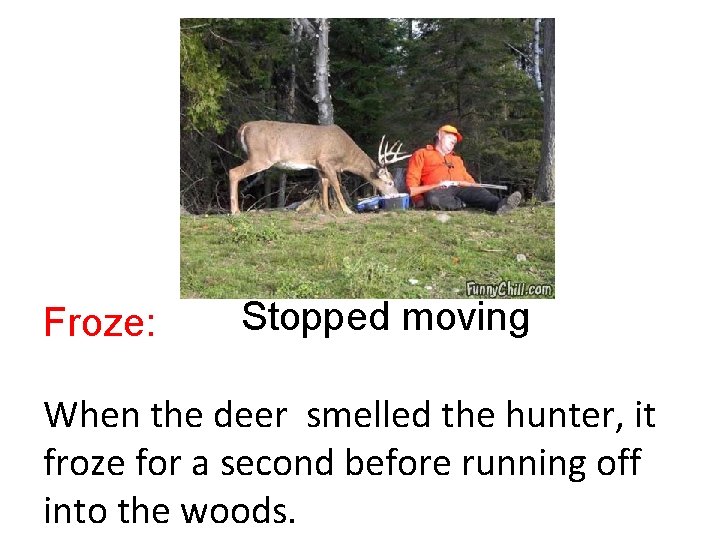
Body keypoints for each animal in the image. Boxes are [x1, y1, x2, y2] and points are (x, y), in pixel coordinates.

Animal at [228, 120, 410, 215]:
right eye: (390, 182)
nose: (395, 195)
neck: (345, 156)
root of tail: (244, 127)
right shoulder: (326, 161)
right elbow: (336, 185)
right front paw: (347, 210)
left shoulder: (319, 166)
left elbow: (324, 185)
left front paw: (326, 209)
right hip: (260, 157)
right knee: (233, 172)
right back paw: (235, 211)